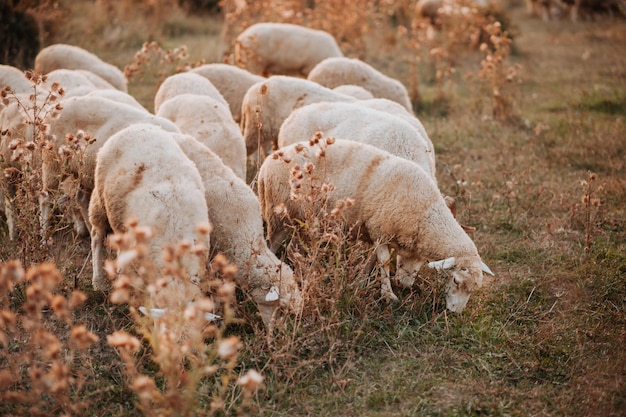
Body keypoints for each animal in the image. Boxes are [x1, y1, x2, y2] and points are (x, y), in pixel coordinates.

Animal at [256, 138, 490, 310]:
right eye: (456, 281)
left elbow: (373, 260)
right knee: (270, 246)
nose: (454, 312)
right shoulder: (381, 228)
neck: (426, 212)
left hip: (299, 221)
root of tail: (267, 162)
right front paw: (388, 295)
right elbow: (384, 262)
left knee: (291, 248)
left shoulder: (378, 230)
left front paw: (361, 280)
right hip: (279, 214)